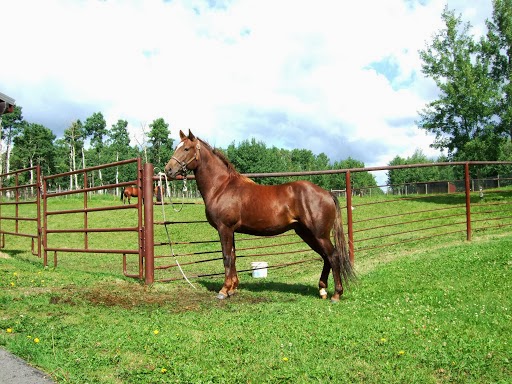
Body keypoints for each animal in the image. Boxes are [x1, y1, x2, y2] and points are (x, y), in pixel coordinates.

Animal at [166, 130, 354, 302]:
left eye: (186, 148)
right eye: (177, 147)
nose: (168, 170)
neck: (222, 187)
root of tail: (327, 193)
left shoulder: (224, 228)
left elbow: (226, 257)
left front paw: (224, 290)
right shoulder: (231, 231)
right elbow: (233, 257)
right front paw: (232, 288)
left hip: (319, 234)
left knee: (333, 256)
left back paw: (336, 294)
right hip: (307, 233)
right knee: (326, 257)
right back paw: (322, 290)